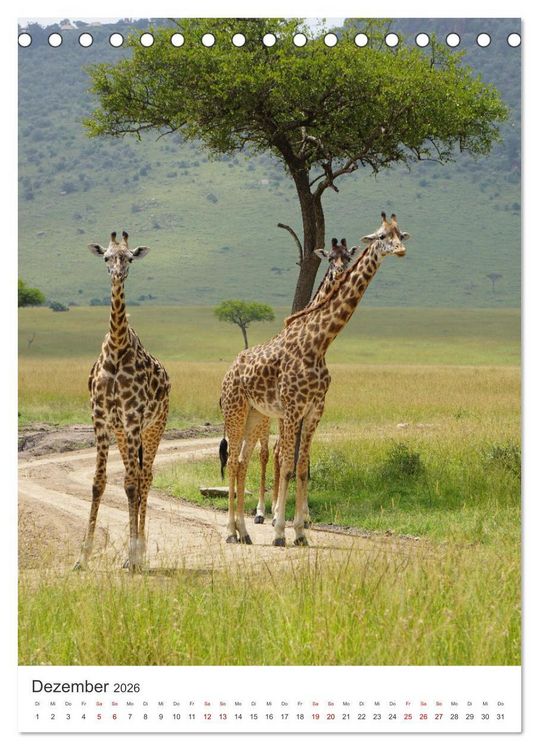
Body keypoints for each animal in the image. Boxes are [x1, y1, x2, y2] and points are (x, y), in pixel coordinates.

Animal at [74, 231, 171, 572]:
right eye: (106, 257)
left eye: (129, 258)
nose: (118, 274)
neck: (116, 349)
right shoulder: (101, 419)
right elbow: (98, 483)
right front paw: (82, 558)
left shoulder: (132, 418)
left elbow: (131, 484)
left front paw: (132, 555)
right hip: (124, 433)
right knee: (137, 476)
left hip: (153, 428)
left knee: (145, 478)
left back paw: (139, 555)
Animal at [219, 212, 409, 546]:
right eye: (382, 236)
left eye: (400, 233)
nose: (400, 250)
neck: (319, 343)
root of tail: (228, 372)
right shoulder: (292, 410)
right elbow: (286, 465)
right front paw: (279, 531)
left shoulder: (314, 410)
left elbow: (303, 467)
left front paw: (300, 532)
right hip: (236, 412)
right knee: (234, 461)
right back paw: (232, 531)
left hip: (255, 415)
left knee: (241, 462)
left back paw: (244, 532)